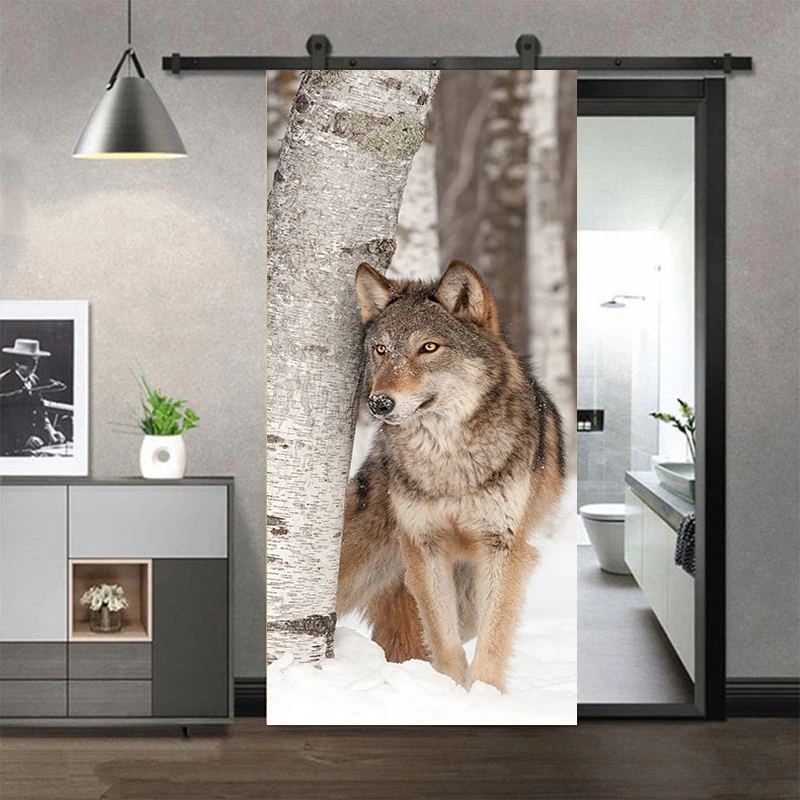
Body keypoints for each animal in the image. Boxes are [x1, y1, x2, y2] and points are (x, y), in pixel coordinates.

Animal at [336, 259, 566, 692]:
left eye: (429, 347)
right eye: (380, 349)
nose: (379, 402)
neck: (447, 461)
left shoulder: (503, 548)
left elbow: (493, 642)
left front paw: (484, 696)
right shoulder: (425, 545)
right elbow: (444, 642)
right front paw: (453, 691)